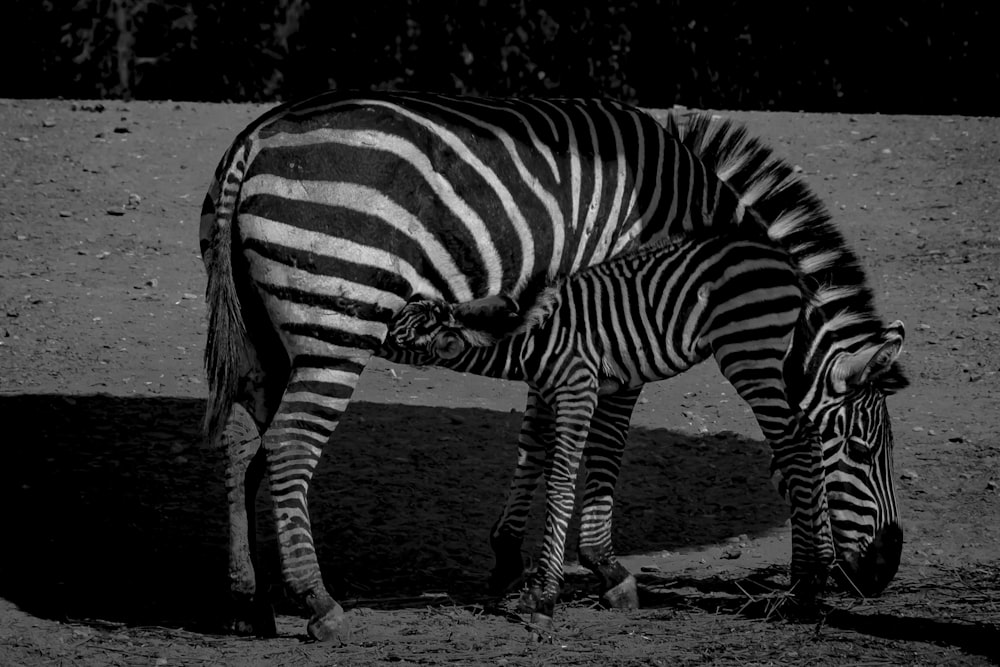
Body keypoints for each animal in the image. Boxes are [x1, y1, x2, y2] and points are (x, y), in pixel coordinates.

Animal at [382, 224, 908, 628]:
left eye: (404, 336)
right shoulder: (554, 390)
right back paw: (809, 580)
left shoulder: (579, 387)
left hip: (749, 354)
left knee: (798, 442)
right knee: (802, 442)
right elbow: (534, 451)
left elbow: (560, 482)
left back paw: (806, 582)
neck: (528, 340)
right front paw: (524, 569)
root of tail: (781, 259)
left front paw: (544, 597)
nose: (374, 325)